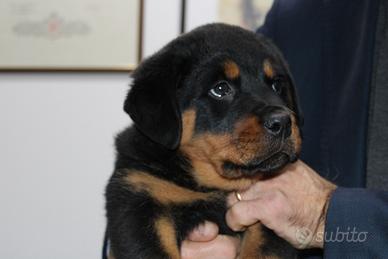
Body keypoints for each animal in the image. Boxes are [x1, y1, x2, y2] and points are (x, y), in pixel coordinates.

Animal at [105, 23, 304, 258]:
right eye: (220, 89)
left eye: (276, 85)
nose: (282, 122)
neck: (209, 188)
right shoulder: (138, 198)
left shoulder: (269, 217)